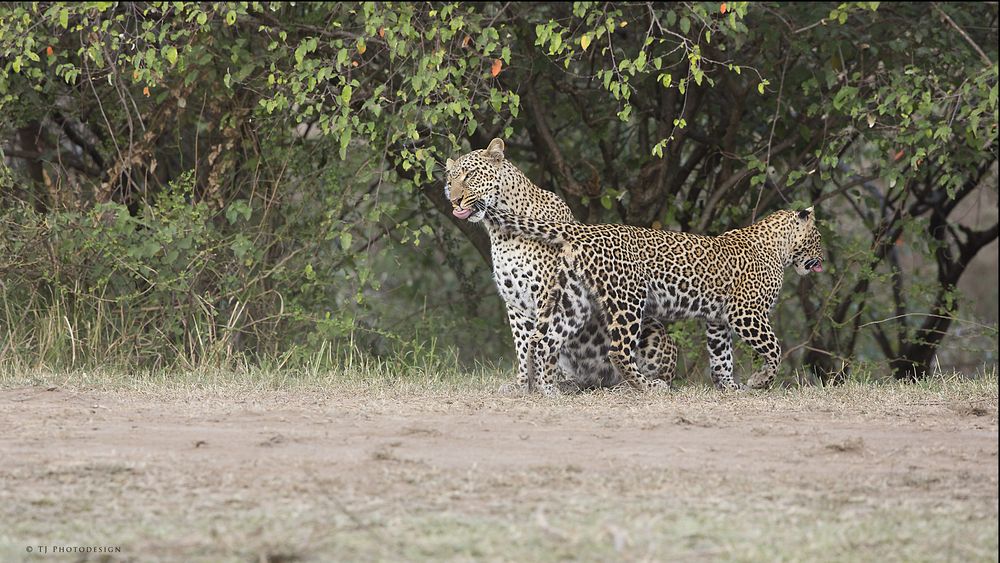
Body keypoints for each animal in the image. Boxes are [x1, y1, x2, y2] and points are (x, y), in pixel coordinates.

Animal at [446, 138, 680, 392]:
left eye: (470, 175)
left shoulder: (547, 292)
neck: (501, 233)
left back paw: (639, 384)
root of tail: (599, 381)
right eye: (449, 182)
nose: (454, 201)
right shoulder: (515, 302)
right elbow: (523, 345)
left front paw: (545, 385)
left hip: (652, 328)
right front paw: (522, 385)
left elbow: (543, 342)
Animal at [480, 204, 824, 396]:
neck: (778, 247)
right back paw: (647, 386)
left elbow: (721, 357)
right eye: (818, 239)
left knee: (542, 341)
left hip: (573, 301)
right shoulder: (746, 313)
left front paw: (730, 387)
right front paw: (760, 381)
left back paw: (547, 390)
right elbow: (774, 349)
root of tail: (586, 231)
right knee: (618, 351)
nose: (822, 260)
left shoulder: (717, 320)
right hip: (628, 298)